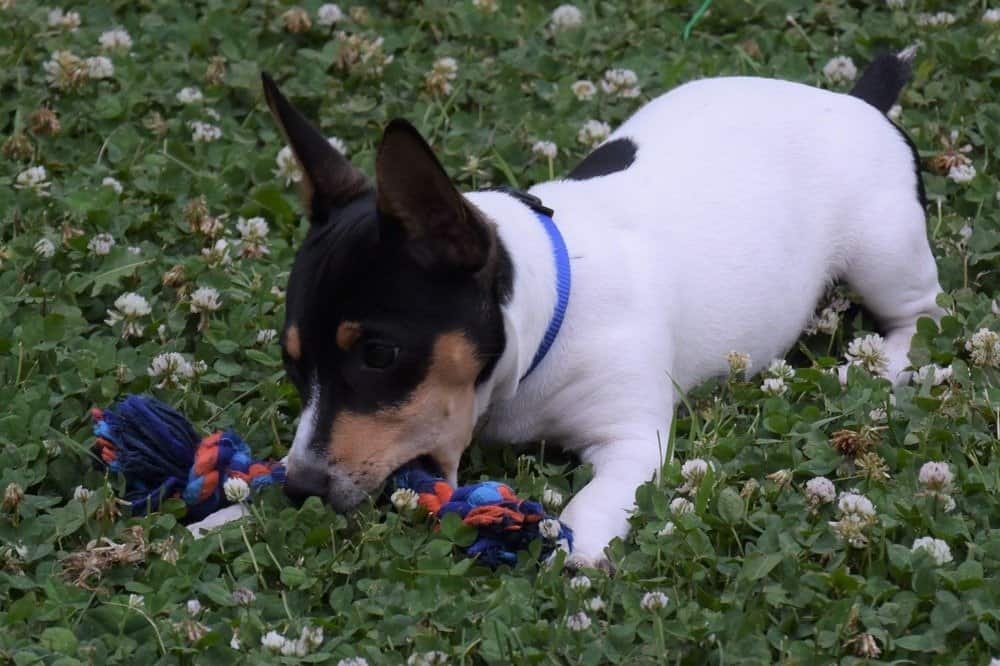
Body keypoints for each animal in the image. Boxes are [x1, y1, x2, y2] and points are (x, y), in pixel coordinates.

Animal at [189, 49, 944, 564]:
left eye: (378, 354)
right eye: (293, 365)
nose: (303, 489)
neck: (547, 311)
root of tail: (858, 100)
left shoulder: (632, 437)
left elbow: (593, 500)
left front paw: (575, 549)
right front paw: (229, 514)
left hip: (883, 252)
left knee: (923, 313)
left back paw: (877, 364)